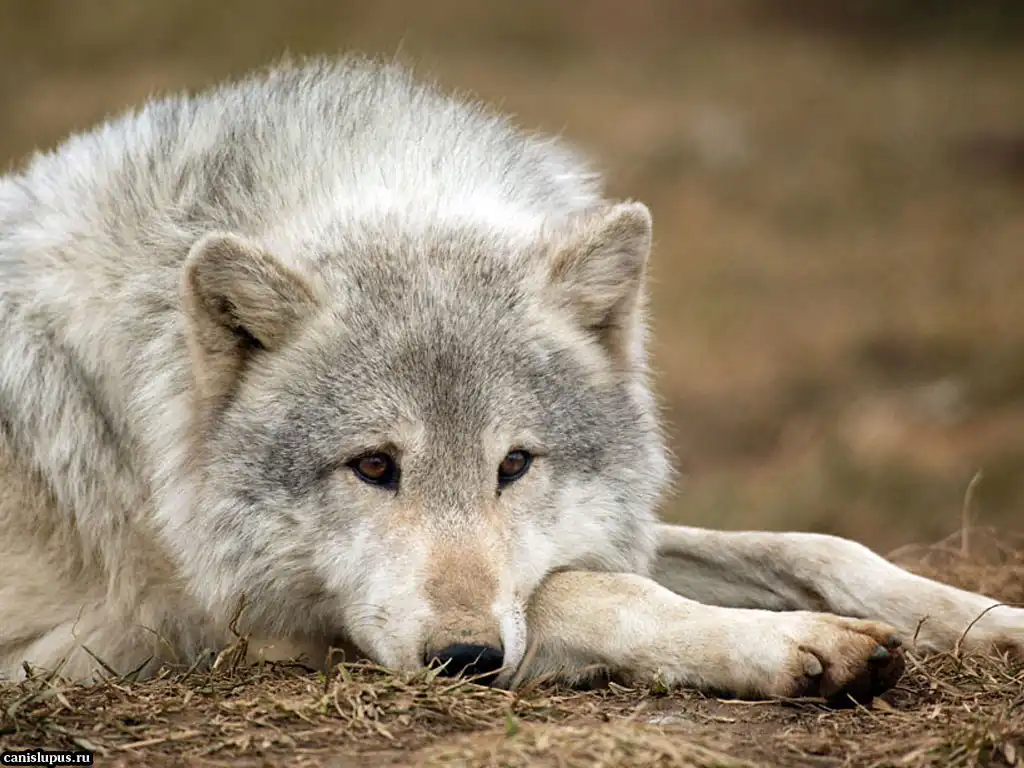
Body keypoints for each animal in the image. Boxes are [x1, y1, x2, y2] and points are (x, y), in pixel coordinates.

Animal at [0, 57, 1020, 704]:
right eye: (374, 467)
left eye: (516, 465)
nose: (465, 656)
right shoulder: (203, 627)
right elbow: (581, 592)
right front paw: (792, 647)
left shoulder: (609, 530)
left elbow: (813, 547)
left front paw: (987, 619)